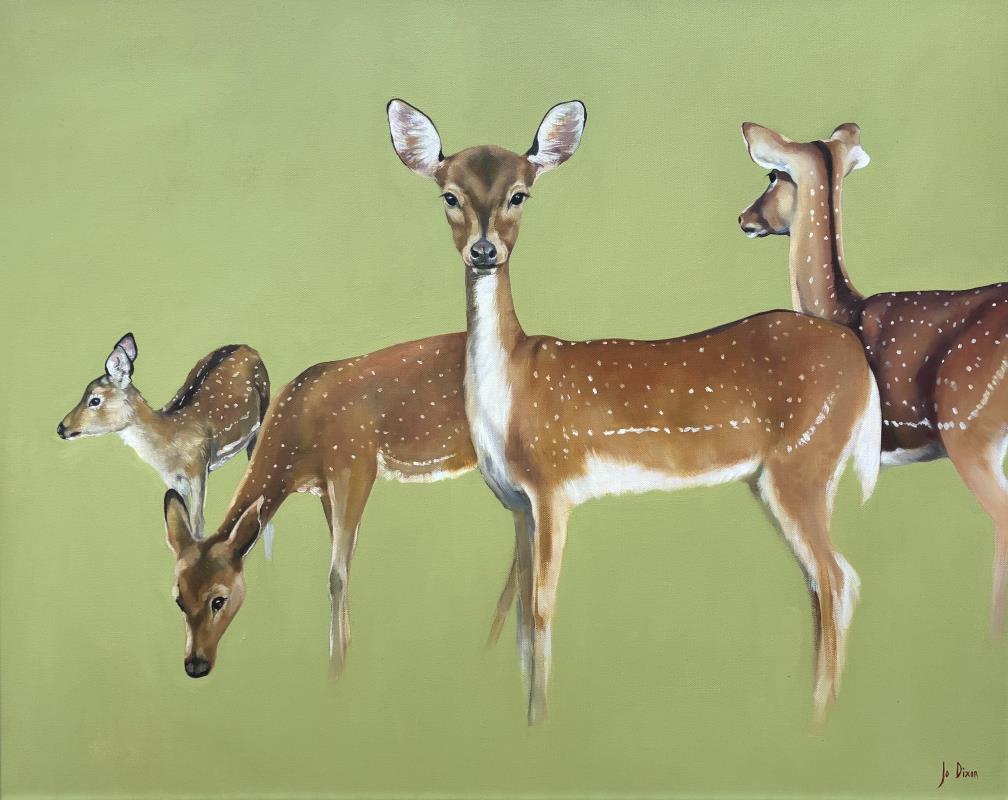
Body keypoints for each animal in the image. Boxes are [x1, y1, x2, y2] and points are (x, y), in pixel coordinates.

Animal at [58, 333, 270, 539]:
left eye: (95, 400)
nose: (61, 428)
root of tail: (247, 347)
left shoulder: (199, 468)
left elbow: (198, 522)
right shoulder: (173, 480)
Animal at [161, 334, 479, 679]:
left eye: (219, 599)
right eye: (179, 599)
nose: (195, 664)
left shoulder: (354, 464)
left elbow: (336, 575)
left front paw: (336, 667)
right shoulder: (325, 489)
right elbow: (344, 566)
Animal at [387, 98, 884, 725]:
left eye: (521, 194)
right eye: (448, 195)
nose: (484, 250)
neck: (512, 387)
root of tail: (858, 361)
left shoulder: (552, 482)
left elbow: (542, 610)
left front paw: (539, 720)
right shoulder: (517, 505)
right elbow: (522, 620)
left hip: (801, 463)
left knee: (839, 579)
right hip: (803, 473)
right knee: (825, 584)